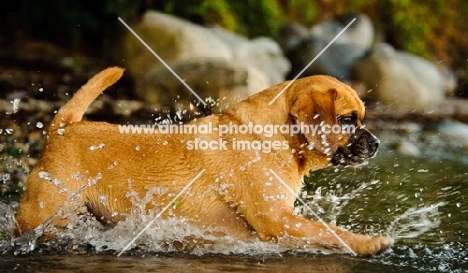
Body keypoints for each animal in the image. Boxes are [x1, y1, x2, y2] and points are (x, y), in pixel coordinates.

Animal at [16, 67, 394, 254]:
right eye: (347, 119)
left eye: (360, 117)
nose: (377, 143)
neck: (276, 137)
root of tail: (62, 129)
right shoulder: (277, 220)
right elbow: (330, 230)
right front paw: (368, 243)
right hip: (43, 215)